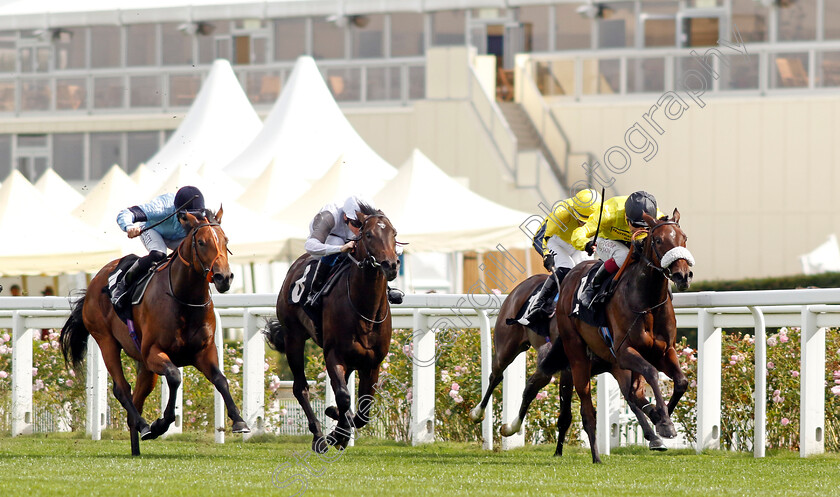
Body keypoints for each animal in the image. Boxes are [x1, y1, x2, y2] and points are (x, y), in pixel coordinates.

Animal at [60, 207, 248, 456]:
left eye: (225, 240)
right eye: (201, 242)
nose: (223, 277)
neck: (184, 299)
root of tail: (96, 279)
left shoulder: (204, 352)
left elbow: (221, 379)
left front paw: (239, 420)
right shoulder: (153, 352)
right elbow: (175, 377)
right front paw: (161, 423)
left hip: (144, 367)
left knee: (137, 396)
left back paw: (136, 445)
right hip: (106, 341)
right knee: (122, 389)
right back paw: (145, 426)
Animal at [270, 205, 400, 454]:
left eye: (394, 233)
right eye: (368, 235)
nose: (391, 264)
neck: (366, 310)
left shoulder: (372, 362)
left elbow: (363, 409)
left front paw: (340, 429)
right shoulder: (333, 354)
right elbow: (343, 397)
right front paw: (335, 433)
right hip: (293, 338)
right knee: (300, 388)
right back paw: (319, 437)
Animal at [466, 274, 664, 456]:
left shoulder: (617, 367)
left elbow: (632, 399)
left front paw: (654, 436)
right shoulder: (570, 370)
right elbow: (566, 415)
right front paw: (558, 452)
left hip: (544, 367)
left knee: (530, 387)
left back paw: (511, 426)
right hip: (507, 347)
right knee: (496, 375)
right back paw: (478, 413)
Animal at [556, 208, 696, 462]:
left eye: (684, 238)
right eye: (658, 240)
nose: (683, 275)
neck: (648, 302)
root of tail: (571, 275)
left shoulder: (664, 351)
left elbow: (681, 382)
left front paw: (663, 417)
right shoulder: (624, 351)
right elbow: (651, 373)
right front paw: (664, 422)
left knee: (632, 393)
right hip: (578, 358)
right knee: (587, 409)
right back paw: (597, 456)